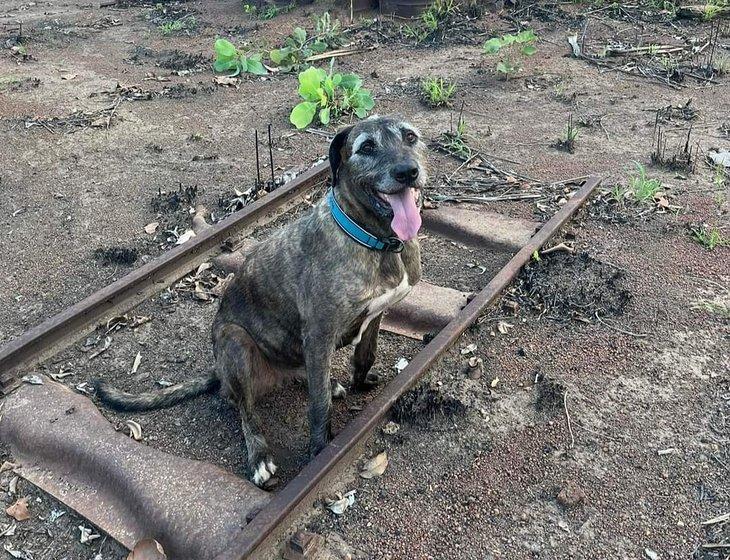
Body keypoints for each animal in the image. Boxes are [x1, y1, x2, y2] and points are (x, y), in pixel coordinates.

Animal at [96, 116, 426, 488]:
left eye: (410, 137)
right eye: (367, 147)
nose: (407, 171)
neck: (373, 240)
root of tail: (219, 371)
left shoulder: (376, 315)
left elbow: (364, 356)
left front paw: (359, 384)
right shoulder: (319, 334)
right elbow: (319, 406)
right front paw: (320, 451)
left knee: (304, 376)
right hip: (235, 341)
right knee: (246, 410)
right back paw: (259, 455)